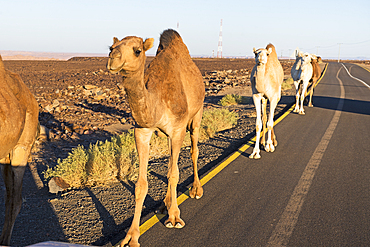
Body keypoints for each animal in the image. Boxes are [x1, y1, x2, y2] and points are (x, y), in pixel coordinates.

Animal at [107, 29, 205, 247]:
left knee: (194, 150)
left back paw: (195, 190)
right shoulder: (142, 131)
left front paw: (174, 217)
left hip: (197, 115)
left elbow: (174, 174)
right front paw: (131, 237)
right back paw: (165, 203)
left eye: (137, 50)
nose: (112, 59)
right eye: (110, 47)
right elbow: (141, 185)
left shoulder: (178, 129)